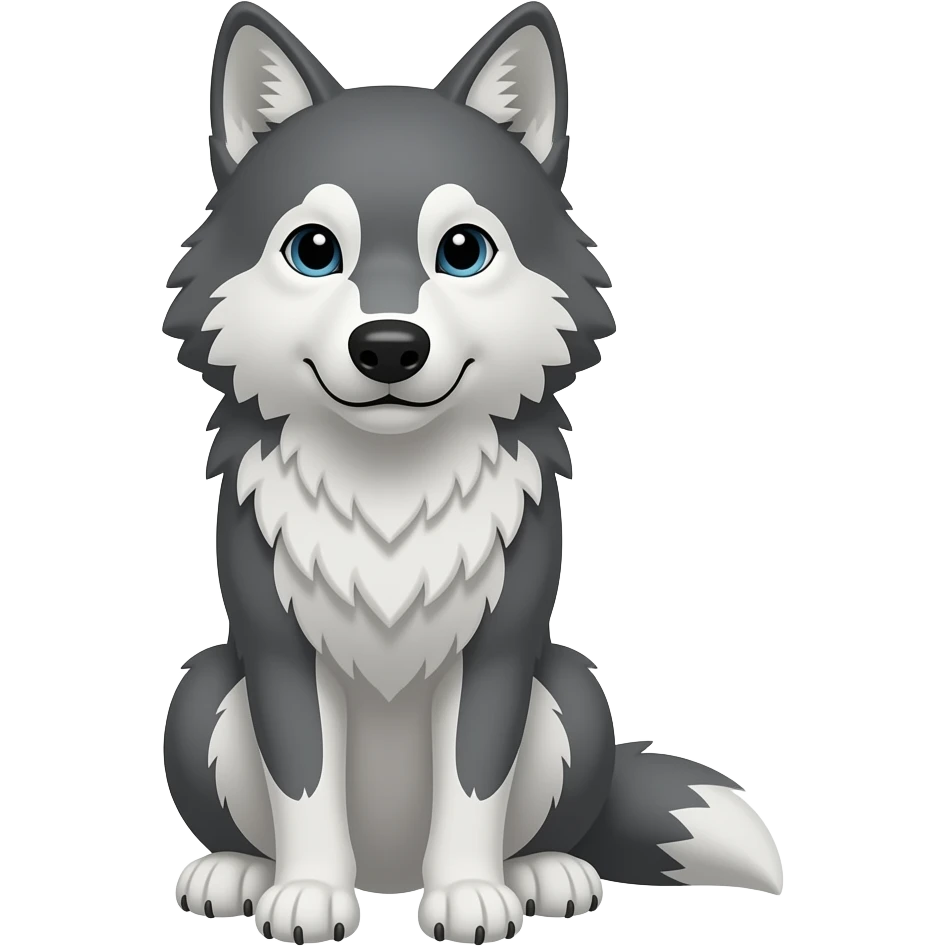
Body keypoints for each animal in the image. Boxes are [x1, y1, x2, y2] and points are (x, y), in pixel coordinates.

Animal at [161, 2, 784, 943]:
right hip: (202, 686)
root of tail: (389, 877)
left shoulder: (501, 649)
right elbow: (303, 782)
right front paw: (306, 894)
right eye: (314, 250)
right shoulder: (276, 647)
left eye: (462, 250)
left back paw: (545, 873)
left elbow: (473, 781)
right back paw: (235, 873)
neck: (389, 491)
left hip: (572, 689)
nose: (388, 347)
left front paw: (469, 895)